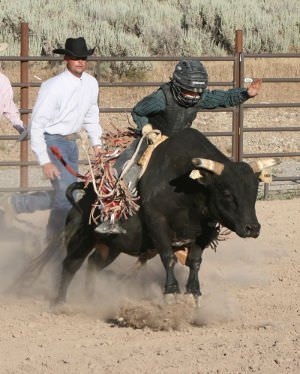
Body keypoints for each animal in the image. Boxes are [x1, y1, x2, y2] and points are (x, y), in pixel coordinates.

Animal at [54, 129, 276, 304]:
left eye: (254, 191)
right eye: (227, 193)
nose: (252, 228)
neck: (187, 188)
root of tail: (87, 193)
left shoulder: (204, 232)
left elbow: (195, 261)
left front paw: (193, 292)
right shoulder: (157, 223)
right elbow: (168, 257)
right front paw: (171, 291)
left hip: (111, 246)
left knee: (93, 264)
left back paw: (91, 297)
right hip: (84, 237)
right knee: (70, 264)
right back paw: (60, 302)